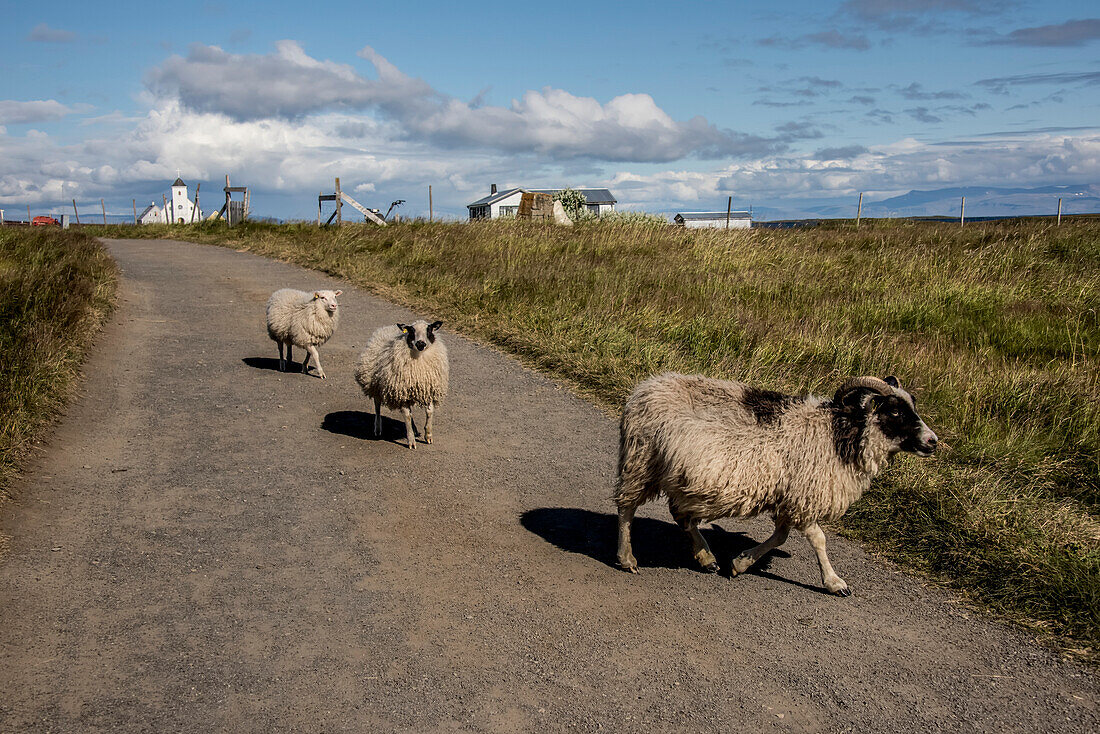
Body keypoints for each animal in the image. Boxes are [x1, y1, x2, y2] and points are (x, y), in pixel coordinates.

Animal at [356, 319, 451, 448]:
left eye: (429, 330)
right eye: (411, 331)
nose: (420, 344)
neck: (419, 357)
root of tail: (387, 327)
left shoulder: (428, 390)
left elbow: (429, 412)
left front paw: (428, 436)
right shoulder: (401, 392)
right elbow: (407, 416)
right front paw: (411, 441)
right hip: (376, 384)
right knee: (377, 405)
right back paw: (378, 428)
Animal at [611, 374, 937, 598]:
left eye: (912, 406)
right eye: (894, 412)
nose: (933, 441)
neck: (839, 434)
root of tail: (642, 390)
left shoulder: (789, 498)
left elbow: (780, 537)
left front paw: (740, 563)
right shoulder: (804, 496)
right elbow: (819, 540)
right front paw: (835, 583)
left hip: (680, 477)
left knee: (681, 516)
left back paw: (706, 558)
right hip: (642, 461)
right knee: (627, 508)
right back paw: (627, 558)